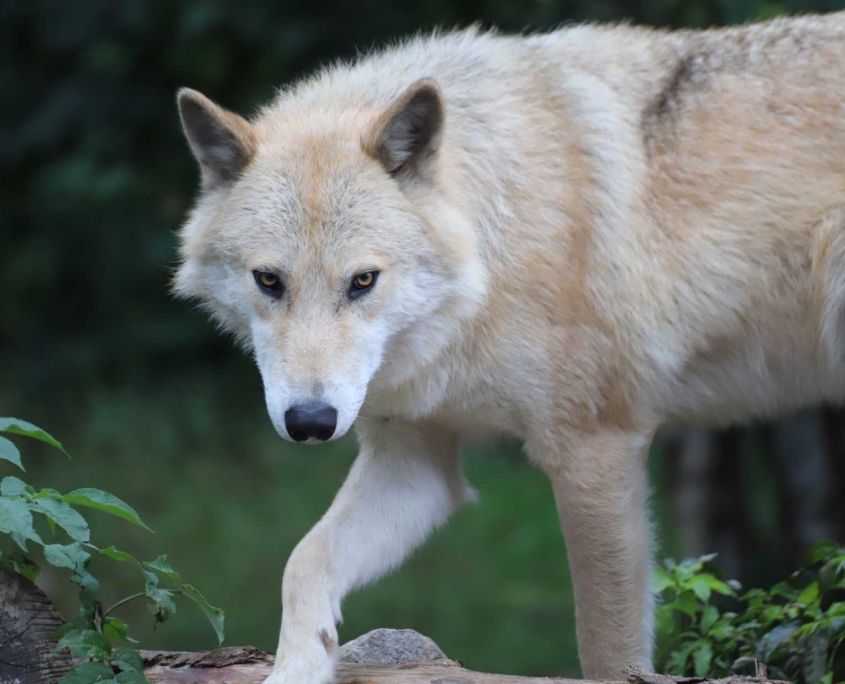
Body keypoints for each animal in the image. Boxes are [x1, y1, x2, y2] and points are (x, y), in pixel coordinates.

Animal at [174, 12, 845, 683]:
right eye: (269, 281)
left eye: (363, 281)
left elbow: (607, 651)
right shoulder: (415, 461)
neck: (488, 266)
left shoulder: (594, 452)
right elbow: (304, 559)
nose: (311, 422)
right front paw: (297, 667)